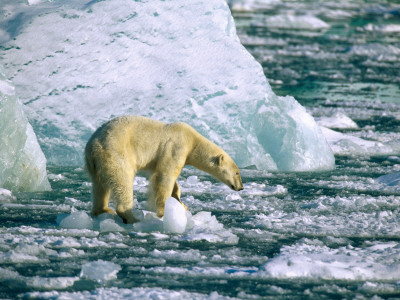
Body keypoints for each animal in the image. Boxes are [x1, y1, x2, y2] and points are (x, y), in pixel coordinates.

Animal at [83, 116, 244, 224]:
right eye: (237, 172)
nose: (241, 187)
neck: (193, 141)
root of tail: (93, 146)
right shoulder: (176, 147)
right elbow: (165, 176)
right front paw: (163, 212)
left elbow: (168, 180)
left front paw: (181, 203)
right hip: (116, 153)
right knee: (123, 181)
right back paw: (132, 217)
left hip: (95, 163)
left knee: (99, 185)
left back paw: (103, 210)